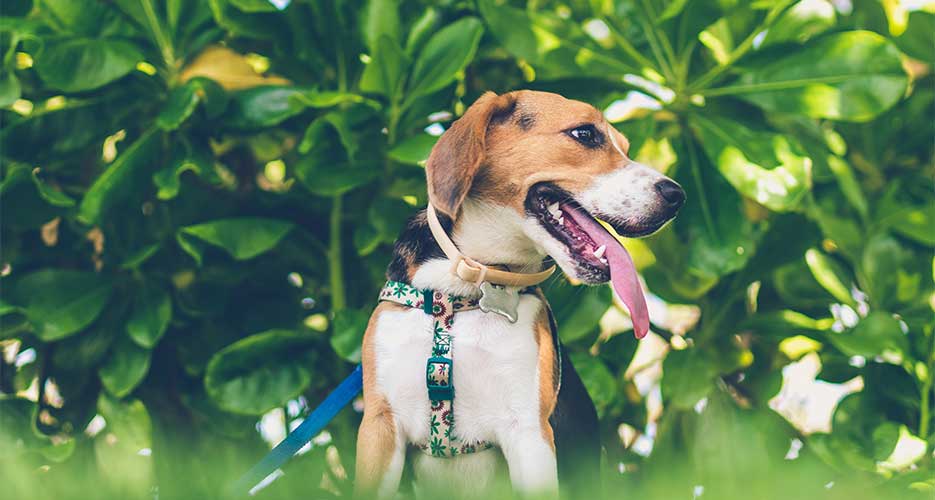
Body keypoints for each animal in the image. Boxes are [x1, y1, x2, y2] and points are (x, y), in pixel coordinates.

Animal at [354, 92, 684, 498]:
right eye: (585, 134)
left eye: (624, 147)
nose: (677, 195)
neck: (465, 293)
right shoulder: (380, 427)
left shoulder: (529, 433)